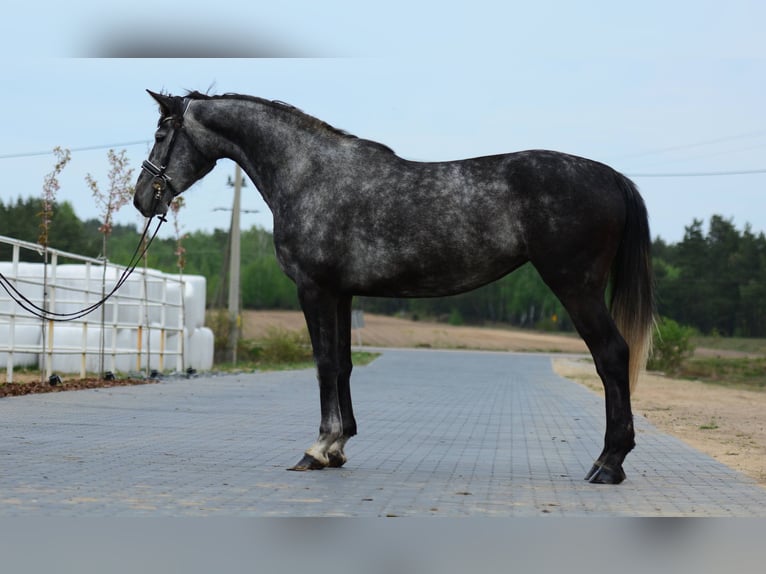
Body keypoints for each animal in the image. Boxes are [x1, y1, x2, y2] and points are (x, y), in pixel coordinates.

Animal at [133, 90, 654, 484]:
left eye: (161, 135)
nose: (141, 199)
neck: (308, 174)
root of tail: (611, 176)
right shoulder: (342, 294)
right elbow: (343, 365)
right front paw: (339, 447)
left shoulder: (314, 290)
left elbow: (323, 365)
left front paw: (316, 449)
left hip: (575, 287)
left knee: (611, 356)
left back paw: (608, 464)